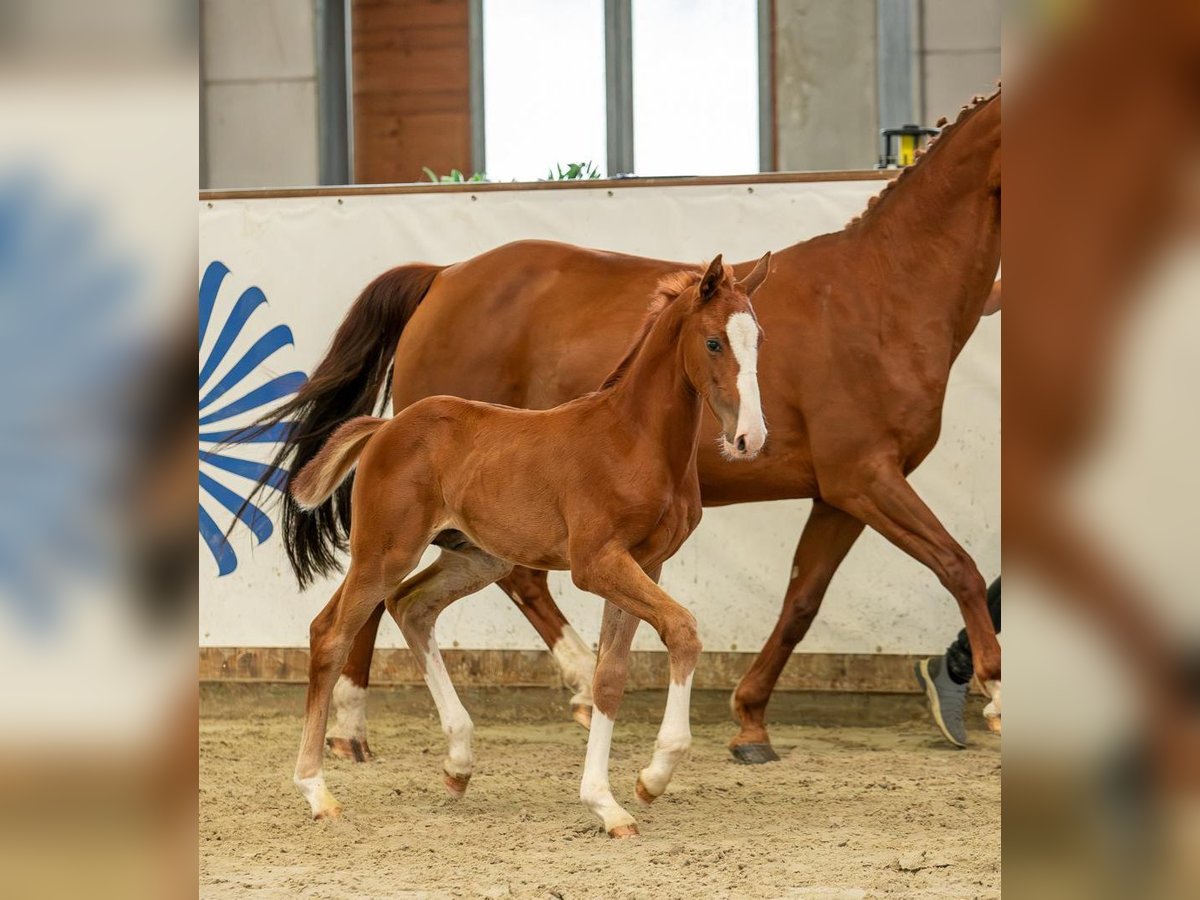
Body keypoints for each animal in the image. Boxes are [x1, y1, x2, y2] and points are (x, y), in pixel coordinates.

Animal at [288, 255, 768, 840]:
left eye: (758, 339)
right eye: (714, 342)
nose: (750, 438)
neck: (634, 440)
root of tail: (387, 426)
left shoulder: (645, 564)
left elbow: (610, 676)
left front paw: (607, 803)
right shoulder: (597, 563)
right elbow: (682, 630)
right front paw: (652, 778)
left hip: (477, 558)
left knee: (412, 607)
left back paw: (458, 763)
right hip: (385, 553)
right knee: (331, 632)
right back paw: (317, 792)